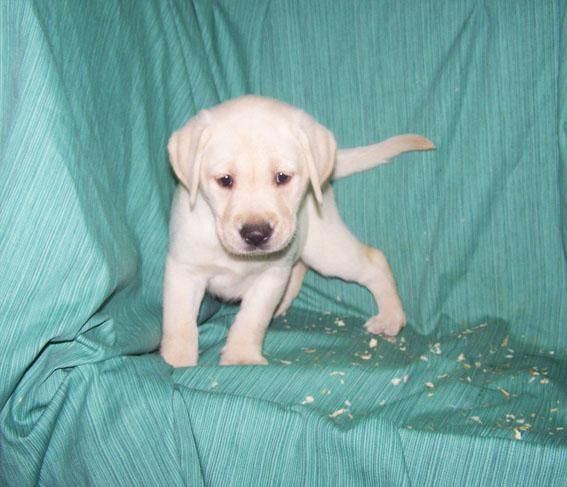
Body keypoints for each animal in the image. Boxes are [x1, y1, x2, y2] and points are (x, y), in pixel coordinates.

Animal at [160, 96, 434, 366]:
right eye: (225, 180)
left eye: (282, 177)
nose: (256, 234)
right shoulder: (184, 270)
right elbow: (179, 322)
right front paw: (177, 360)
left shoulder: (270, 277)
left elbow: (251, 320)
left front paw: (241, 357)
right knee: (300, 265)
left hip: (327, 249)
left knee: (374, 260)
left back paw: (391, 316)